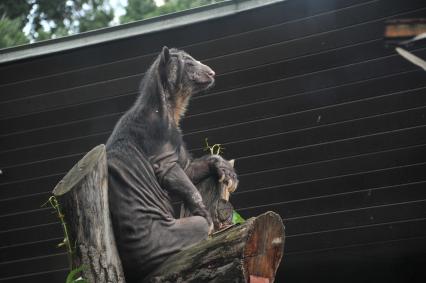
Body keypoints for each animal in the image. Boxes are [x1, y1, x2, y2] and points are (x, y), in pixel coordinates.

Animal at [105, 47, 238, 282]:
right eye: (190, 63)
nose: (212, 72)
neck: (169, 108)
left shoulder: (182, 160)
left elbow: (192, 169)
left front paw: (227, 172)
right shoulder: (162, 155)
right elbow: (187, 186)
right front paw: (205, 213)